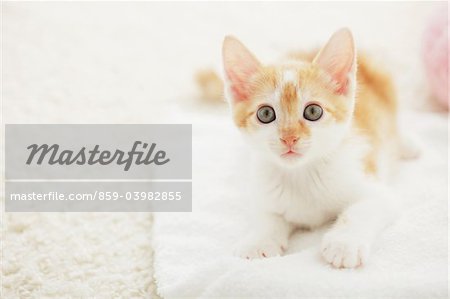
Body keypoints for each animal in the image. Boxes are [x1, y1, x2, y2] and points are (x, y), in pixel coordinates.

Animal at [221, 28, 414, 270]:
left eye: (313, 111)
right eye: (265, 114)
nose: (289, 138)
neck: (301, 174)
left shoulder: (375, 190)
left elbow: (361, 210)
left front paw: (344, 243)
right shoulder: (262, 189)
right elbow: (265, 216)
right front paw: (258, 241)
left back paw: (408, 145)